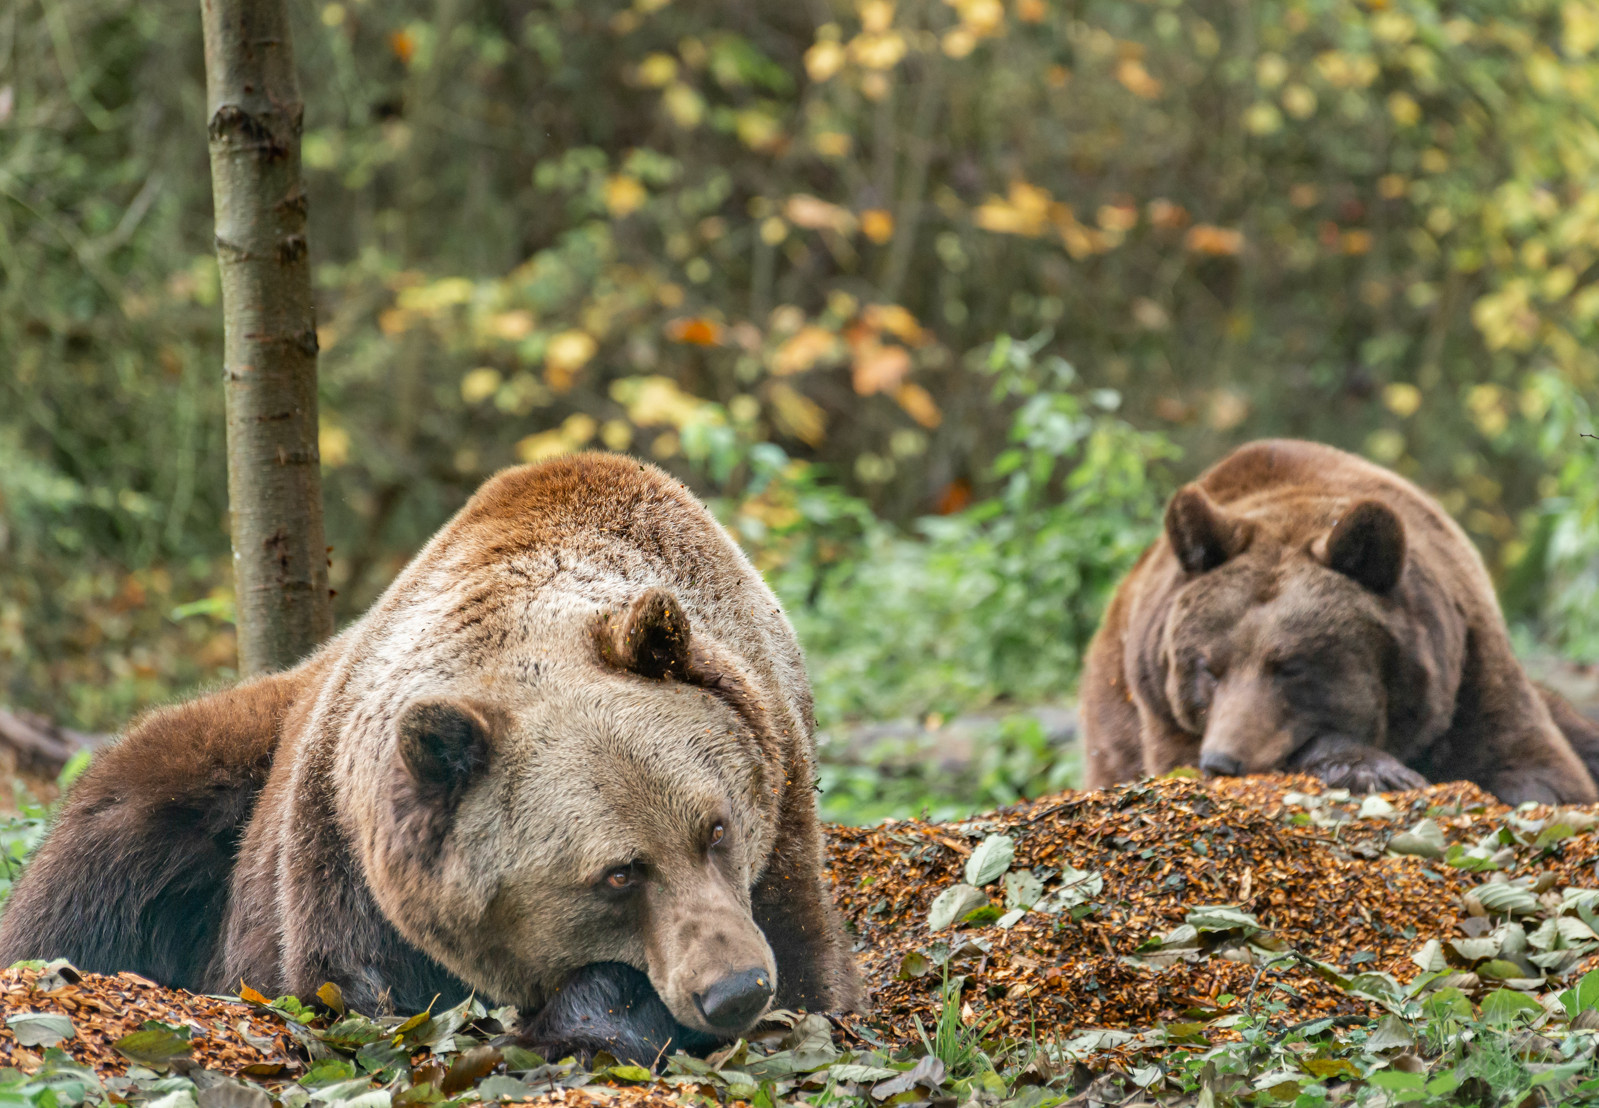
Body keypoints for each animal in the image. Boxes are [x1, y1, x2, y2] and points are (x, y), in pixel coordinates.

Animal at [0, 453, 863, 1063]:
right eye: (618, 874)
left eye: (715, 828)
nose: (736, 989)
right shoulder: (340, 862)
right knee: (89, 881)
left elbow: (812, 972)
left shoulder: (781, 817)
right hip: (203, 774)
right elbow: (356, 1000)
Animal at [1080, 438, 1599, 806]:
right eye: (1208, 667)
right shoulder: (1160, 710)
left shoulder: (1470, 670)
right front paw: (1376, 770)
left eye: (1290, 667)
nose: (1223, 760)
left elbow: (1541, 771)